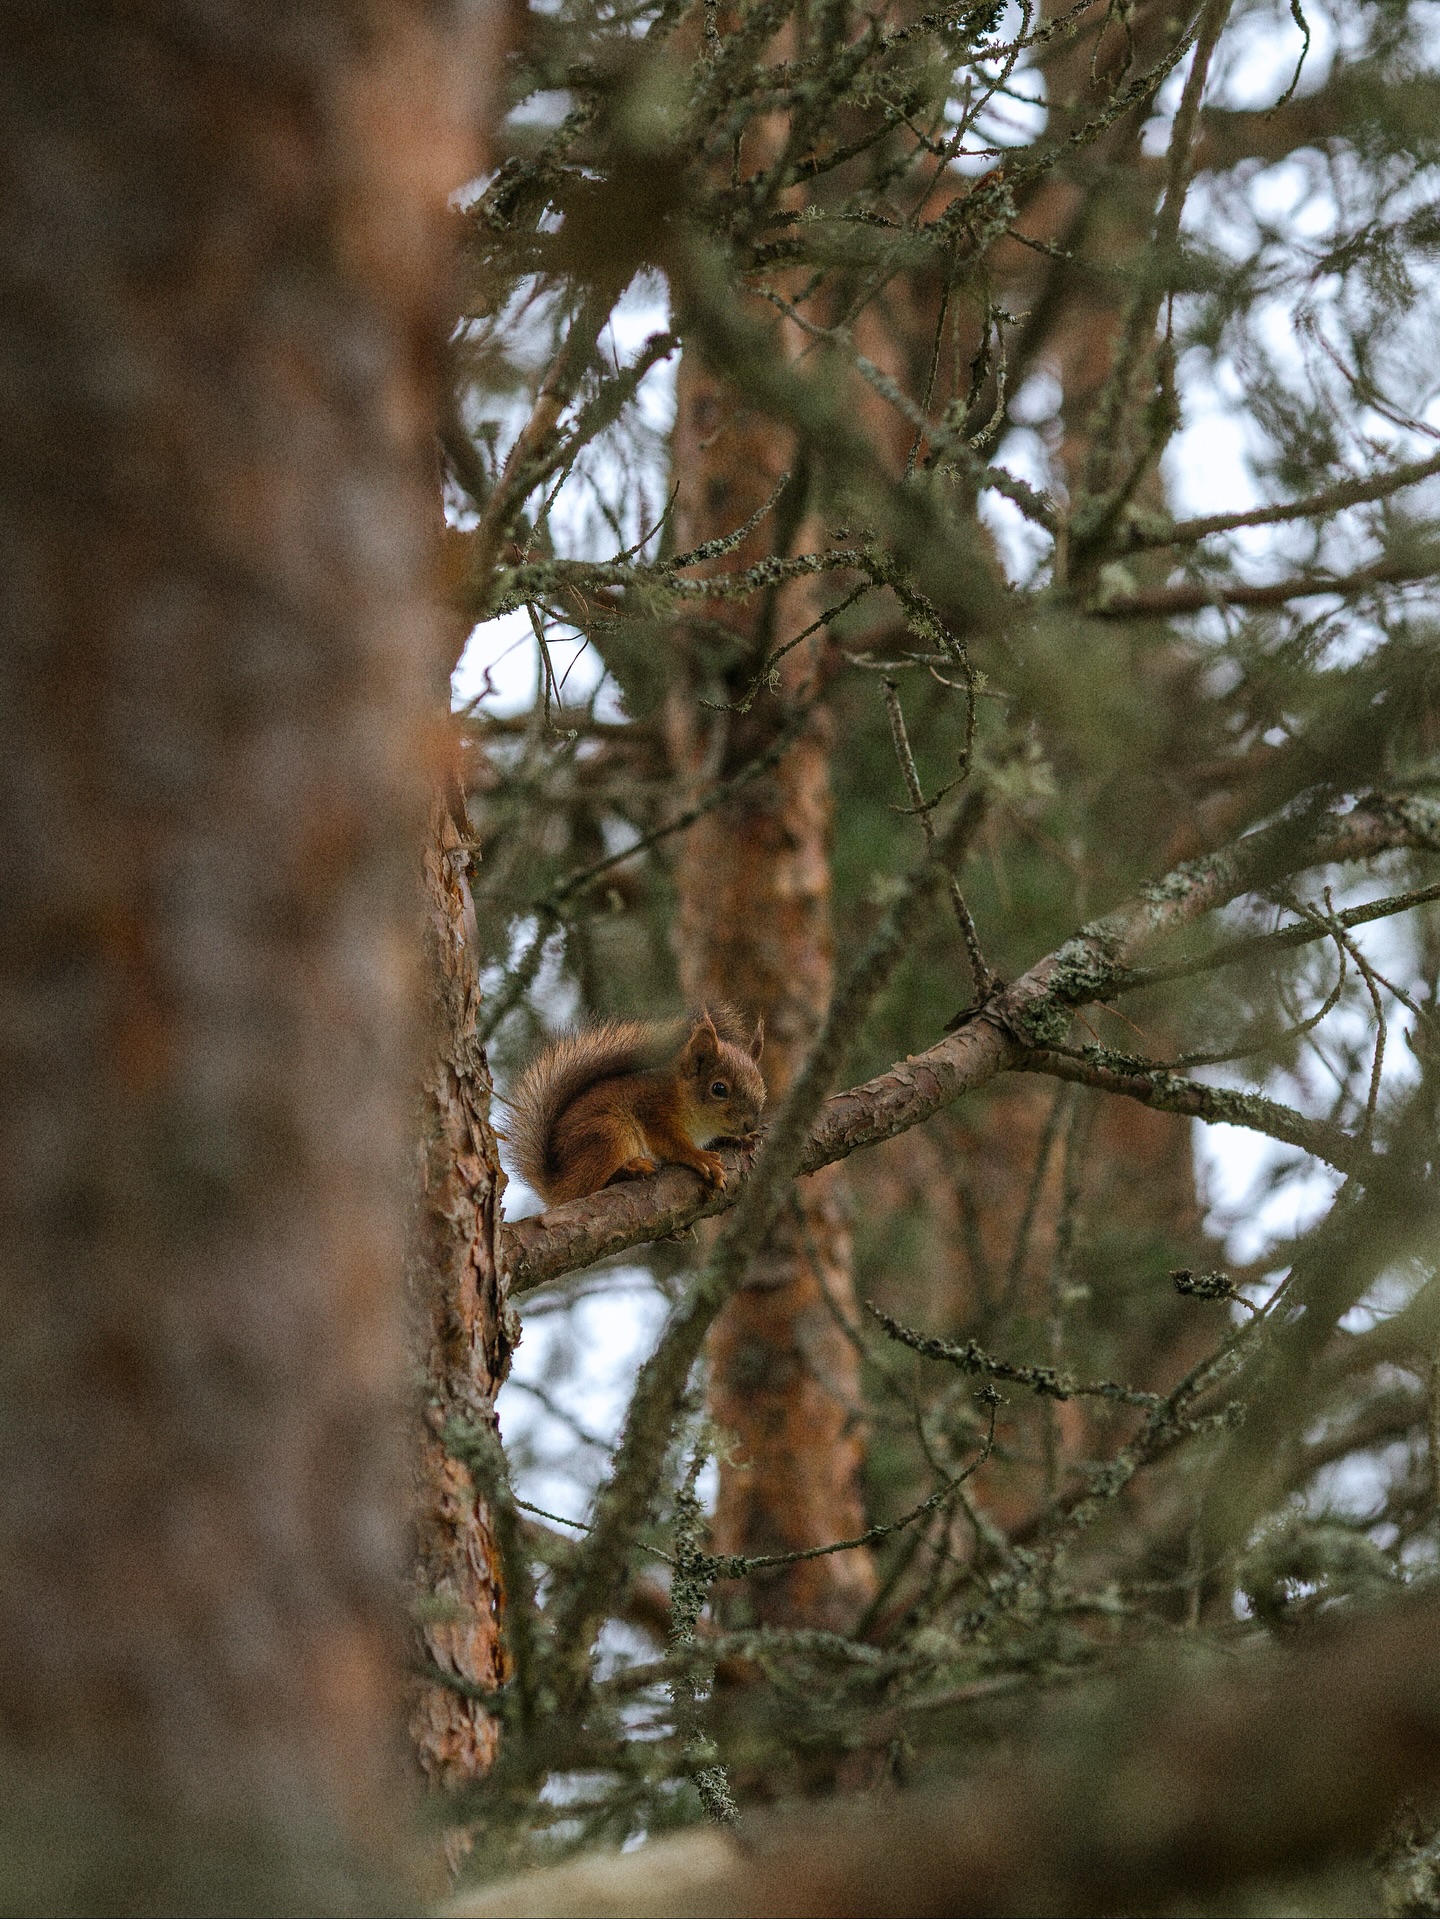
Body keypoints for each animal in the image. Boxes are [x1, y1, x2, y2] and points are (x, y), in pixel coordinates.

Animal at [508, 1007, 766, 1207]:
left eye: (761, 1083)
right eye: (719, 1088)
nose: (750, 1124)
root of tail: (556, 1186)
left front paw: (740, 1138)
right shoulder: (654, 1111)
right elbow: (673, 1144)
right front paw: (700, 1157)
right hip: (609, 1132)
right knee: (585, 1188)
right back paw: (629, 1169)